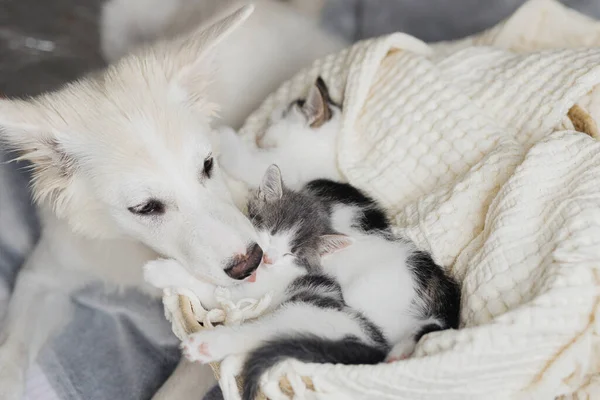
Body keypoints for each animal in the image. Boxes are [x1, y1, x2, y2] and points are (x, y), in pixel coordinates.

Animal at [0, 1, 346, 398]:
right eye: (144, 208)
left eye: (208, 164)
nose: (251, 263)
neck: (129, 244)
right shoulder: (43, 275)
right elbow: (10, 353)